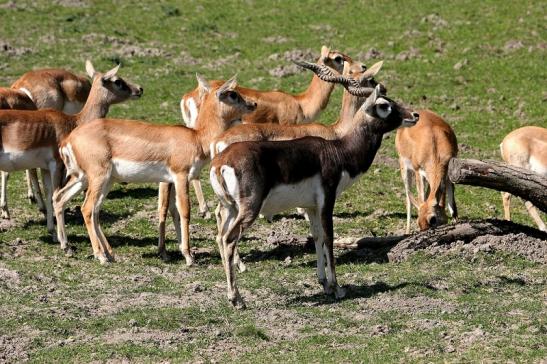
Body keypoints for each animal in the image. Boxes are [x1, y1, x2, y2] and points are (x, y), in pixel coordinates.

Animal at [52, 77, 256, 264]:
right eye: (233, 94)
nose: (253, 104)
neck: (196, 138)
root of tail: (69, 139)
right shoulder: (181, 176)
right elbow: (185, 210)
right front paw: (189, 256)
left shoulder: (170, 180)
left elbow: (172, 211)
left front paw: (178, 252)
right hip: (98, 177)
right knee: (87, 208)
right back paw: (100, 256)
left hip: (90, 179)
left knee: (67, 200)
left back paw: (88, 250)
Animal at [210, 83, 420, 308]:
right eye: (384, 105)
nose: (414, 115)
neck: (339, 152)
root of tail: (220, 161)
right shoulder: (327, 201)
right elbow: (329, 238)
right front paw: (337, 288)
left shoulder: (311, 207)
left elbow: (317, 237)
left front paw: (324, 284)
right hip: (249, 208)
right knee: (229, 239)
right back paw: (236, 299)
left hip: (230, 208)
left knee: (220, 236)